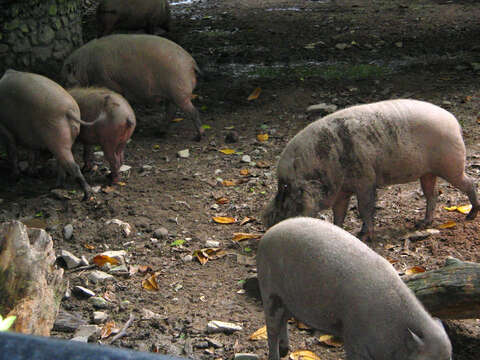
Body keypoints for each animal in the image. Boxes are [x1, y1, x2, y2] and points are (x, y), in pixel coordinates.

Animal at [0, 69, 93, 200]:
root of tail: (69, 110)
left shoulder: (4, 128)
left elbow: (12, 151)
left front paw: (14, 177)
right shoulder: (30, 136)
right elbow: (32, 153)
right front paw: (32, 173)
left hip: (56, 137)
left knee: (72, 165)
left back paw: (86, 196)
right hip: (66, 139)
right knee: (62, 163)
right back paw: (56, 186)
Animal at [60, 33, 202, 140]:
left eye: (67, 81)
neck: (85, 67)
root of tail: (192, 63)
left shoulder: (107, 81)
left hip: (179, 93)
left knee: (192, 112)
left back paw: (198, 137)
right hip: (172, 95)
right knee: (171, 112)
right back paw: (159, 133)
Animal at [256, 217, 452, 360]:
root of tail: (267, 235)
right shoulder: (354, 336)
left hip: (288, 299)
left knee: (283, 319)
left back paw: (286, 350)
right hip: (269, 290)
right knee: (272, 328)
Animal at [264, 97, 478, 242]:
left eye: (284, 187)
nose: (268, 224)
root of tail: (455, 122)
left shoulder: (365, 180)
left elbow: (364, 207)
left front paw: (364, 236)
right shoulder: (342, 191)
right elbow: (339, 213)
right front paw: (340, 231)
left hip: (451, 165)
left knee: (470, 183)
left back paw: (471, 215)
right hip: (427, 173)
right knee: (432, 195)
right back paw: (422, 224)